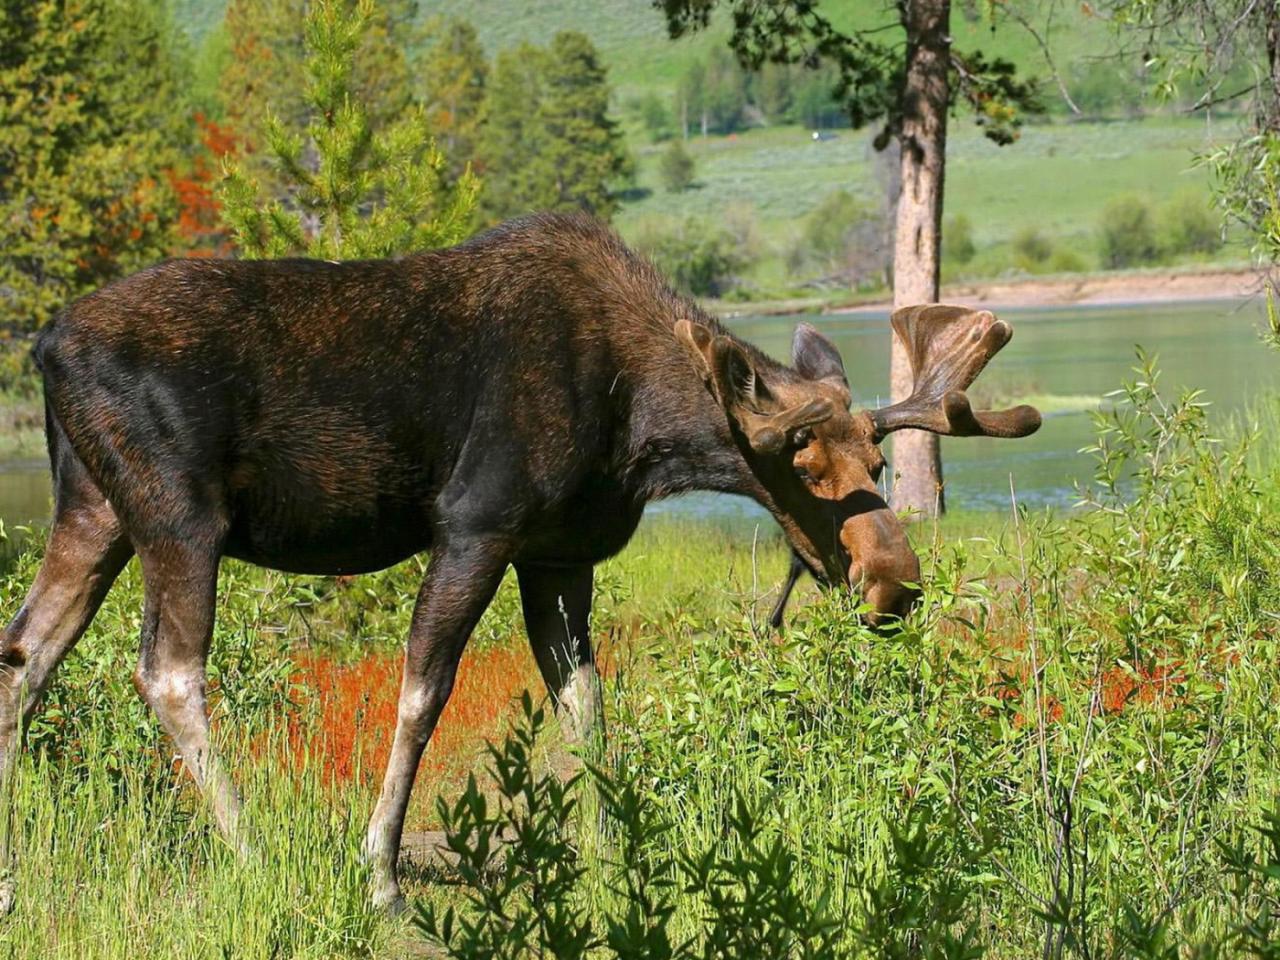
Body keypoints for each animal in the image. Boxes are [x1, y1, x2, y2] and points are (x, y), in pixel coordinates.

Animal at [0, 213, 1039, 911]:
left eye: (878, 465)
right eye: (801, 462)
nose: (894, 581)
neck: (645, 437)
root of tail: (46, 345)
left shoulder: (560, 554)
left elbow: (585, 704)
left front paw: (614, 854)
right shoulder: (478, 523)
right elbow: (424, 692)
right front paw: (378, 873)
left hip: (93, 511)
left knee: (25, 655)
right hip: (179, 514)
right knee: (167, 672)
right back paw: (253, 853)